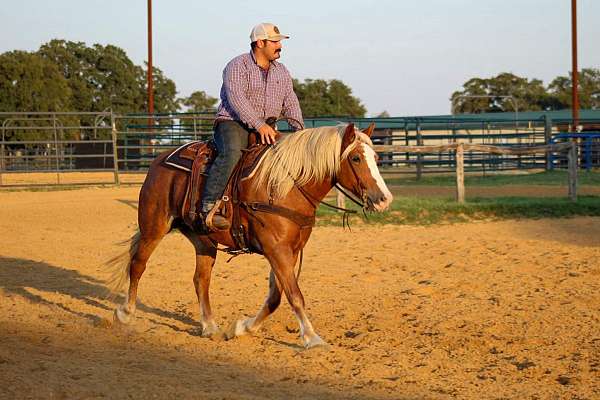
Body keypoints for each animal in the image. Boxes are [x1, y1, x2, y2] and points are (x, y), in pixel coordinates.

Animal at [109, 123, 394, 348]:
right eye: (355, 158)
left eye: (376, 157)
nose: (384, 199)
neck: (286, 186)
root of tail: (159, 160)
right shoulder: (276, 249)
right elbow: (294, 295)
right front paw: (312, 338)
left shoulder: (289, 251)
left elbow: (276, 297)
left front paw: (242, 328)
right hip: (154, 226)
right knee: (138, 265)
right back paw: (125, 314)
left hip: (203, 240)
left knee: (200, 279)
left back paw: (209, 326)